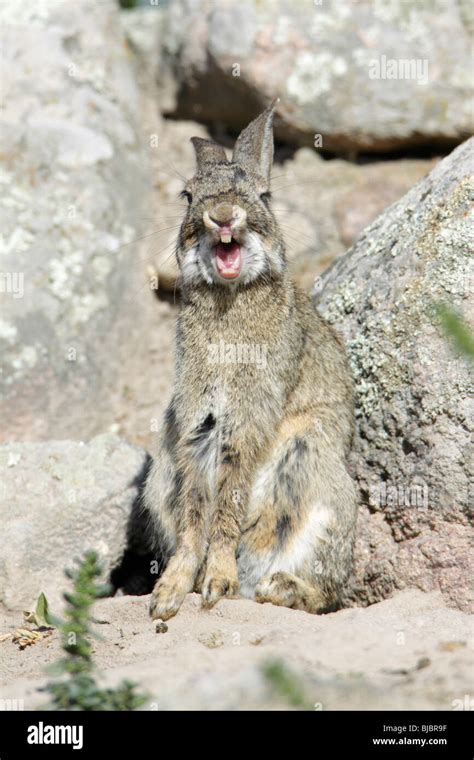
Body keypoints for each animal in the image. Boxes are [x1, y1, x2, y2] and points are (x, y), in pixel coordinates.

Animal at [143, 101, 358, 620]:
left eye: (263, 195)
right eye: (188, 196)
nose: (222, 216)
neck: (230, 299)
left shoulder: (249, 411)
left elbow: (229, 497)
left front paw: (216, 583)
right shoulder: (197, 418)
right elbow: (197, 506)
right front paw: (171, 593)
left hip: (320, 485)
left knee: (324, 591)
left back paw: (278, 588)